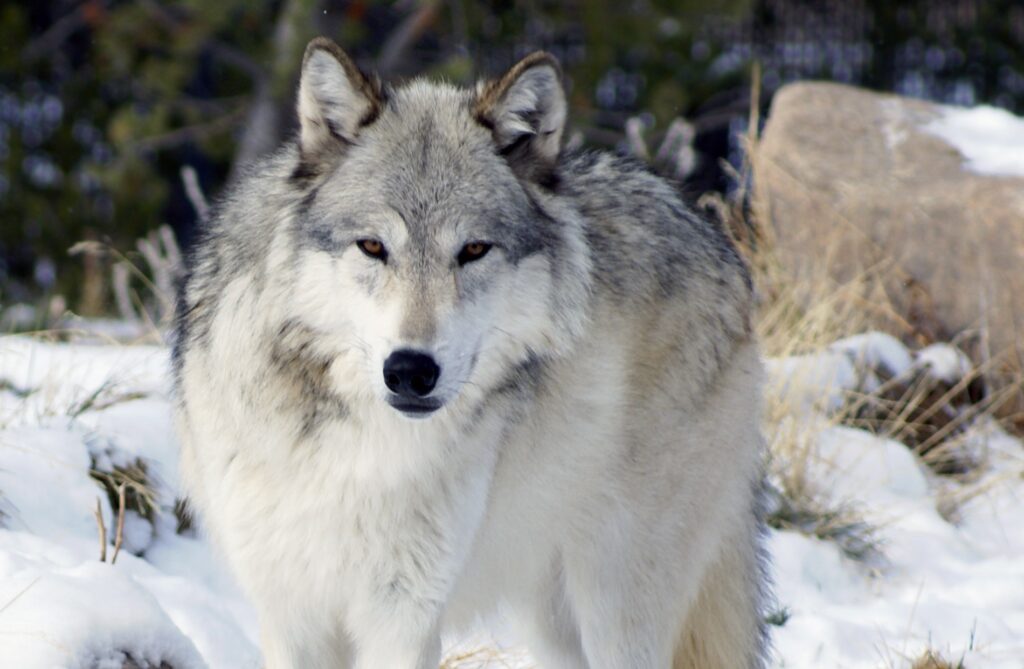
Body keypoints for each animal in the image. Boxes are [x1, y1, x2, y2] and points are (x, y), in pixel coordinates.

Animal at [173, 36, 767, 669]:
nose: (411, 371)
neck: (352, 451)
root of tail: (713, 238)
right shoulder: (291, 613)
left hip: (616, 604)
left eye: (474, 250)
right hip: (550, 620)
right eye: (372, 246)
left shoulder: (404, 616)